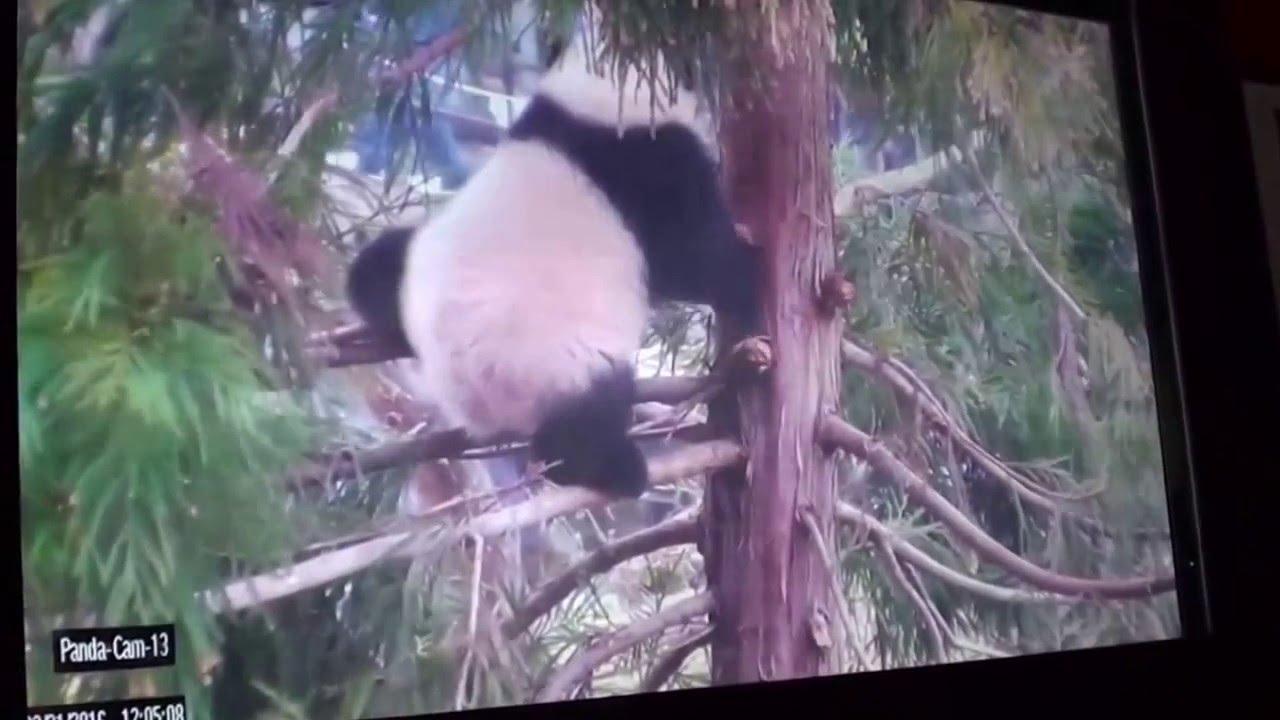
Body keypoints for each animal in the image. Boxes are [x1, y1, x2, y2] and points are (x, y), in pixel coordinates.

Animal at [345, 28, 762, 501]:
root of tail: (469, 402)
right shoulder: (647, 166)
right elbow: (692, 256)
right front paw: (748, 274)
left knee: (377, 267)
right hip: (559, 364)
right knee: (586, 419)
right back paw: (614, 468)